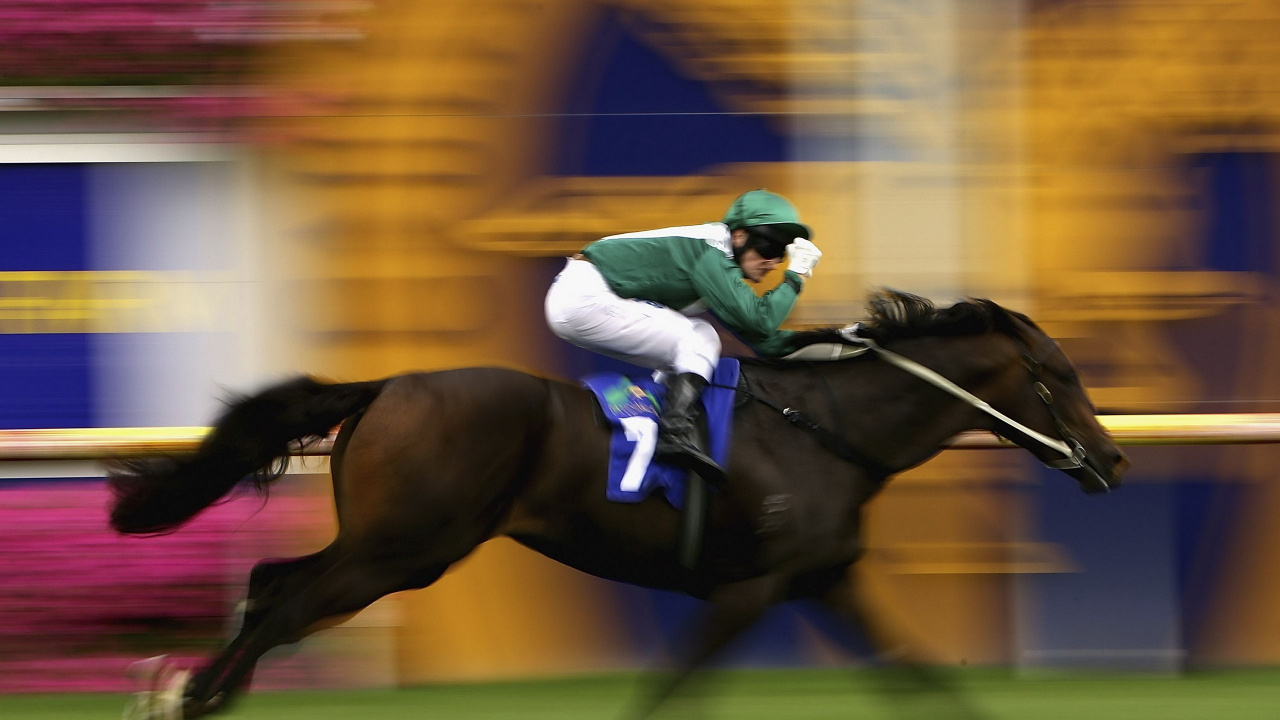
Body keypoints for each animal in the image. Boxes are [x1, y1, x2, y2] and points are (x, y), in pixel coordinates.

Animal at [109, 289, 1127, 720]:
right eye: (1060, 376)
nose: (1114, 460)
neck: (827, 429)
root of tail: (386, 383)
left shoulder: (824, 580)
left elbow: (916, 675)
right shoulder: (748, 591)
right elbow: (671, 684)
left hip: (391, 545)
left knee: (269, 580)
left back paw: (196, 689)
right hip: (404, 549)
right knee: (284, 599)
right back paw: (195, 693)